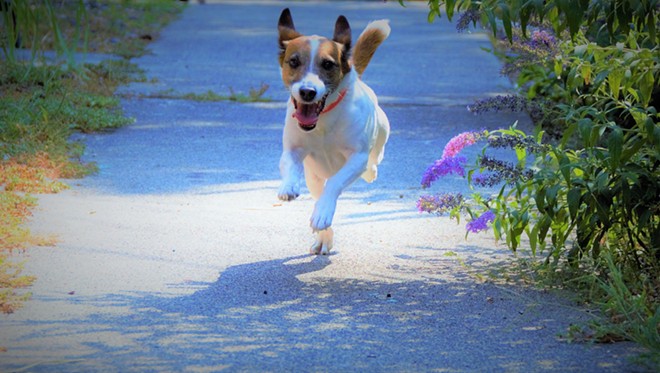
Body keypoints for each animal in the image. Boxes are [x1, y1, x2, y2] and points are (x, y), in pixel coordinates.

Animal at [276, 8, 390, 254]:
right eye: (293, 61)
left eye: (328, 64)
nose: (307, 92)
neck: (322, 121)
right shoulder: (293, 149)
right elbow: (289, 163)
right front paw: (288, 185)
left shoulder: (357, 157)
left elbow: (336, 182)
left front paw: (323, 212)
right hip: (313, 178)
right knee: (318, 193)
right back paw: (324, 237)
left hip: (383, 128)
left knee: (375, 156)